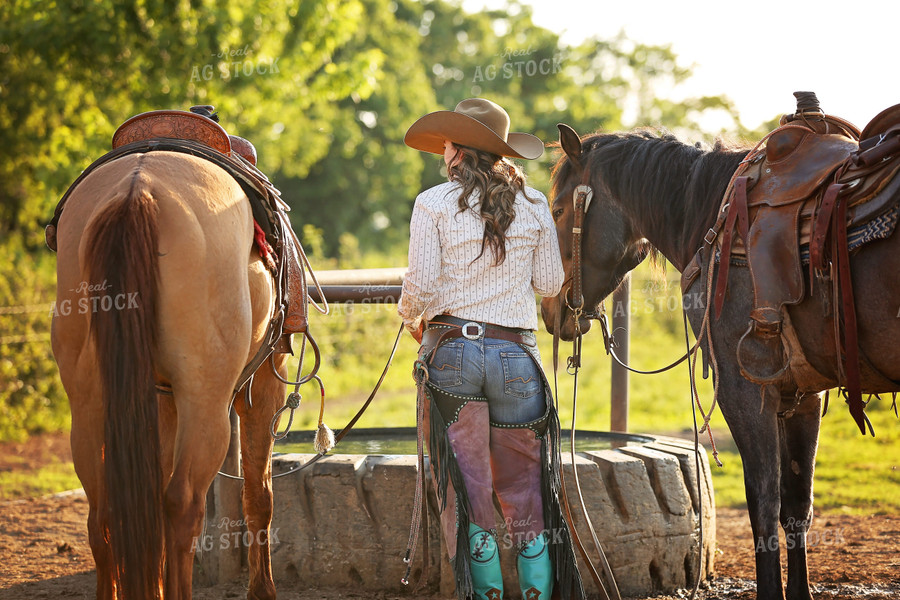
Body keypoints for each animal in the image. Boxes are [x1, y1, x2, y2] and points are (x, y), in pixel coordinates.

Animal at [48, 116, 296, 596]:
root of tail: (136, 191)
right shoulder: (264, 385)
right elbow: (259, 495)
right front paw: (262, 589)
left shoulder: (158, 400)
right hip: (206, 401)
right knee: (183, 504)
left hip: (88, 402)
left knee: (104, 511)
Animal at [540, 101, 900, 596]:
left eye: (558, 209)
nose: (548, 308)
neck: (719, 220)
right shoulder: (803, 394)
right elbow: (795, 509)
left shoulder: (743, 388)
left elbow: (763, 506)